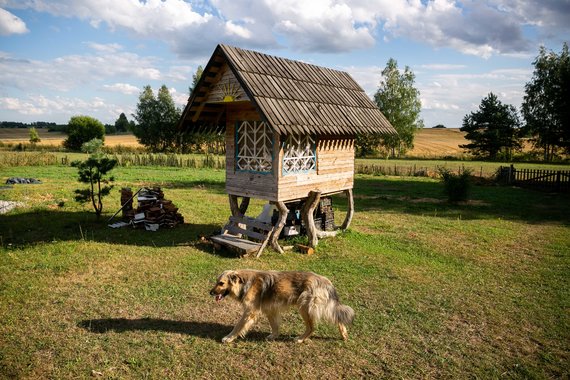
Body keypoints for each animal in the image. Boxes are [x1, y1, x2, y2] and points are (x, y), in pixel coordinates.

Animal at [206, 268, 352, 342]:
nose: (210, 292)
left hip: (305, 307)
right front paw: (273, 336)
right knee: (337, 316)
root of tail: (325, 281)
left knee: (312, 327)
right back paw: (344, 334)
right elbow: (274, 325)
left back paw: (300, 339)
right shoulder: (270, 310)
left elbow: (238, 326)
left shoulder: (250, 312)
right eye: (217, 282)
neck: (245, 283)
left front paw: (229, 338)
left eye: (221, 283)